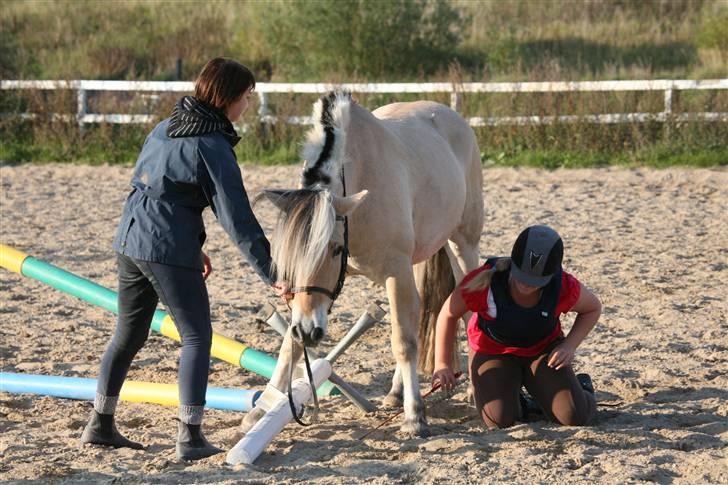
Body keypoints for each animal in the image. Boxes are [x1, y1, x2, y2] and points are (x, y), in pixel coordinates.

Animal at [247, 91, 480, 434]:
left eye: (333, 250)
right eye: (287, 256)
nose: (309, 332)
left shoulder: (396, 272)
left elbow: (404, 342)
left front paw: (414, 416)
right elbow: (290, 344)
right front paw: (262, 408)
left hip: (461, 245)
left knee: (463, 309)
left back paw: (473, 392)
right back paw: (395, 392)